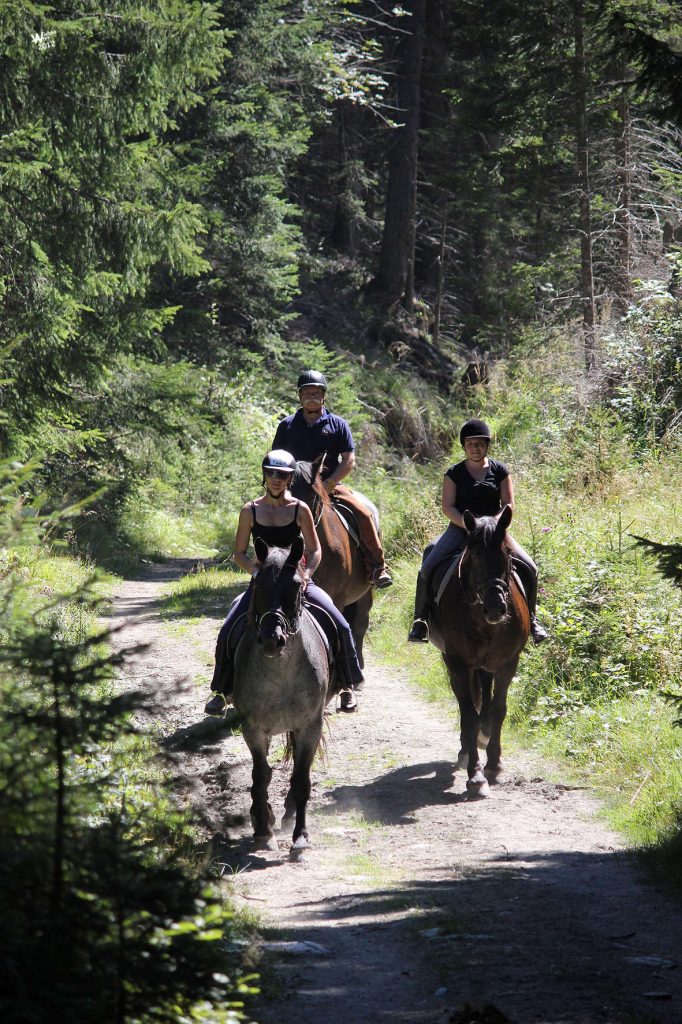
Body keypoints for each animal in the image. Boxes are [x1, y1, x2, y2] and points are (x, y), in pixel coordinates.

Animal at [231, 536, 331, 856]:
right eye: (258, 583)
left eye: (297, 586)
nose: (272, 639)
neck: (280, 670)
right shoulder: (252, 727)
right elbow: (261, 775)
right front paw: (263, 831)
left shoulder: (310, 725)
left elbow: (301, 780)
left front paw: (300, 837)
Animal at [428, 507, 528, 794]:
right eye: (473, 556)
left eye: (507, 554)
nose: (496, 608)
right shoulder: (459, 663)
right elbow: (469, 716)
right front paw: (476, 776)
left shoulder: (508, 662)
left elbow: (498, 709)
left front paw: (494, 764)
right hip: (452, 660)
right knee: (467, 700)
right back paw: (466, 750)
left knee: (484, 689)